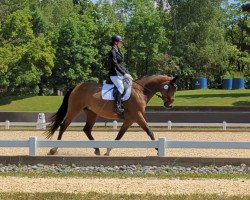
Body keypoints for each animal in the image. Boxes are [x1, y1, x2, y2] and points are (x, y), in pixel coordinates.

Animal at [45, 74, 178, 155]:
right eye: (170, 89)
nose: (169, 105)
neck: (141, 91)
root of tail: (76, 86)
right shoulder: (137, 116)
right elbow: (149, 131)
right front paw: (157, 149)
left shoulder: (130, 119)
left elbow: (120, 135)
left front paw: (108, 150)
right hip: (74, 109)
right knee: (64, 126)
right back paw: (54, 149)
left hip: (91, 113)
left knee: (87, 129)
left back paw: (97, 149)